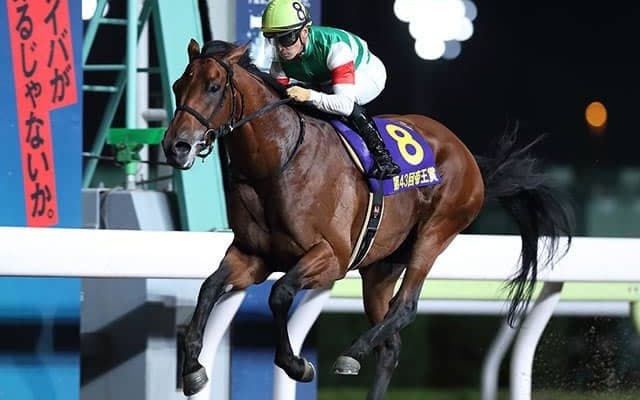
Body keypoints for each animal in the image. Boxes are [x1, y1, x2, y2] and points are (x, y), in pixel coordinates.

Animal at [161, 39, 574, 399]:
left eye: (214, 87)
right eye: (178, 85)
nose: (175, 146)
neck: (276, 163)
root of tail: (468, 156)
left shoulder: (332, 257)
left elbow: (280, 294)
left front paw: (297, 364)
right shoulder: (252, 256)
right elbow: (208, 288)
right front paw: (192, 369)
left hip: (436, 232)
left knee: (405, 307)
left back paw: (352, 352)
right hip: (381, 266)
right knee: (390, 345)